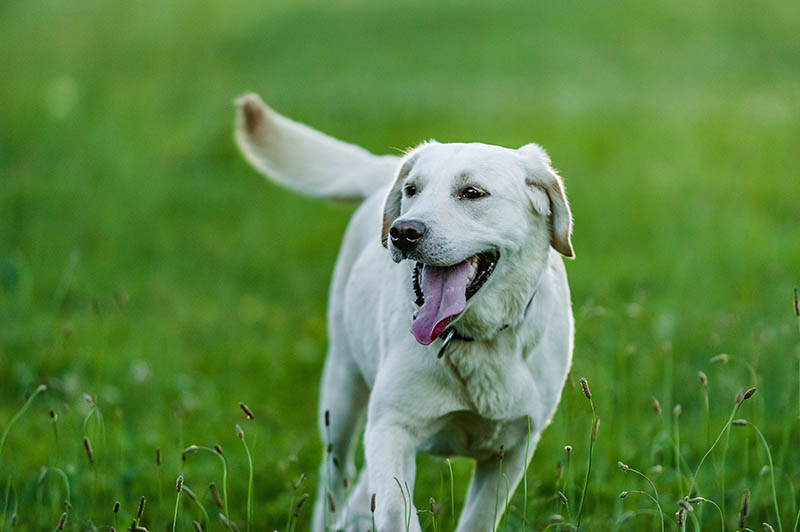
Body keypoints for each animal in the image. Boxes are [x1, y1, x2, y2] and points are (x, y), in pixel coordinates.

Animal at [234, 93, 572, 528]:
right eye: (413, 190)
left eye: (473, 192)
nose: (403, 231)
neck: (474, 339)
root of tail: (383, 167)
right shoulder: (391, 427)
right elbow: (396, 508)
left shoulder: (513, 447)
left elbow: (478, 517)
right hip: (341, 392)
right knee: (335, 482)